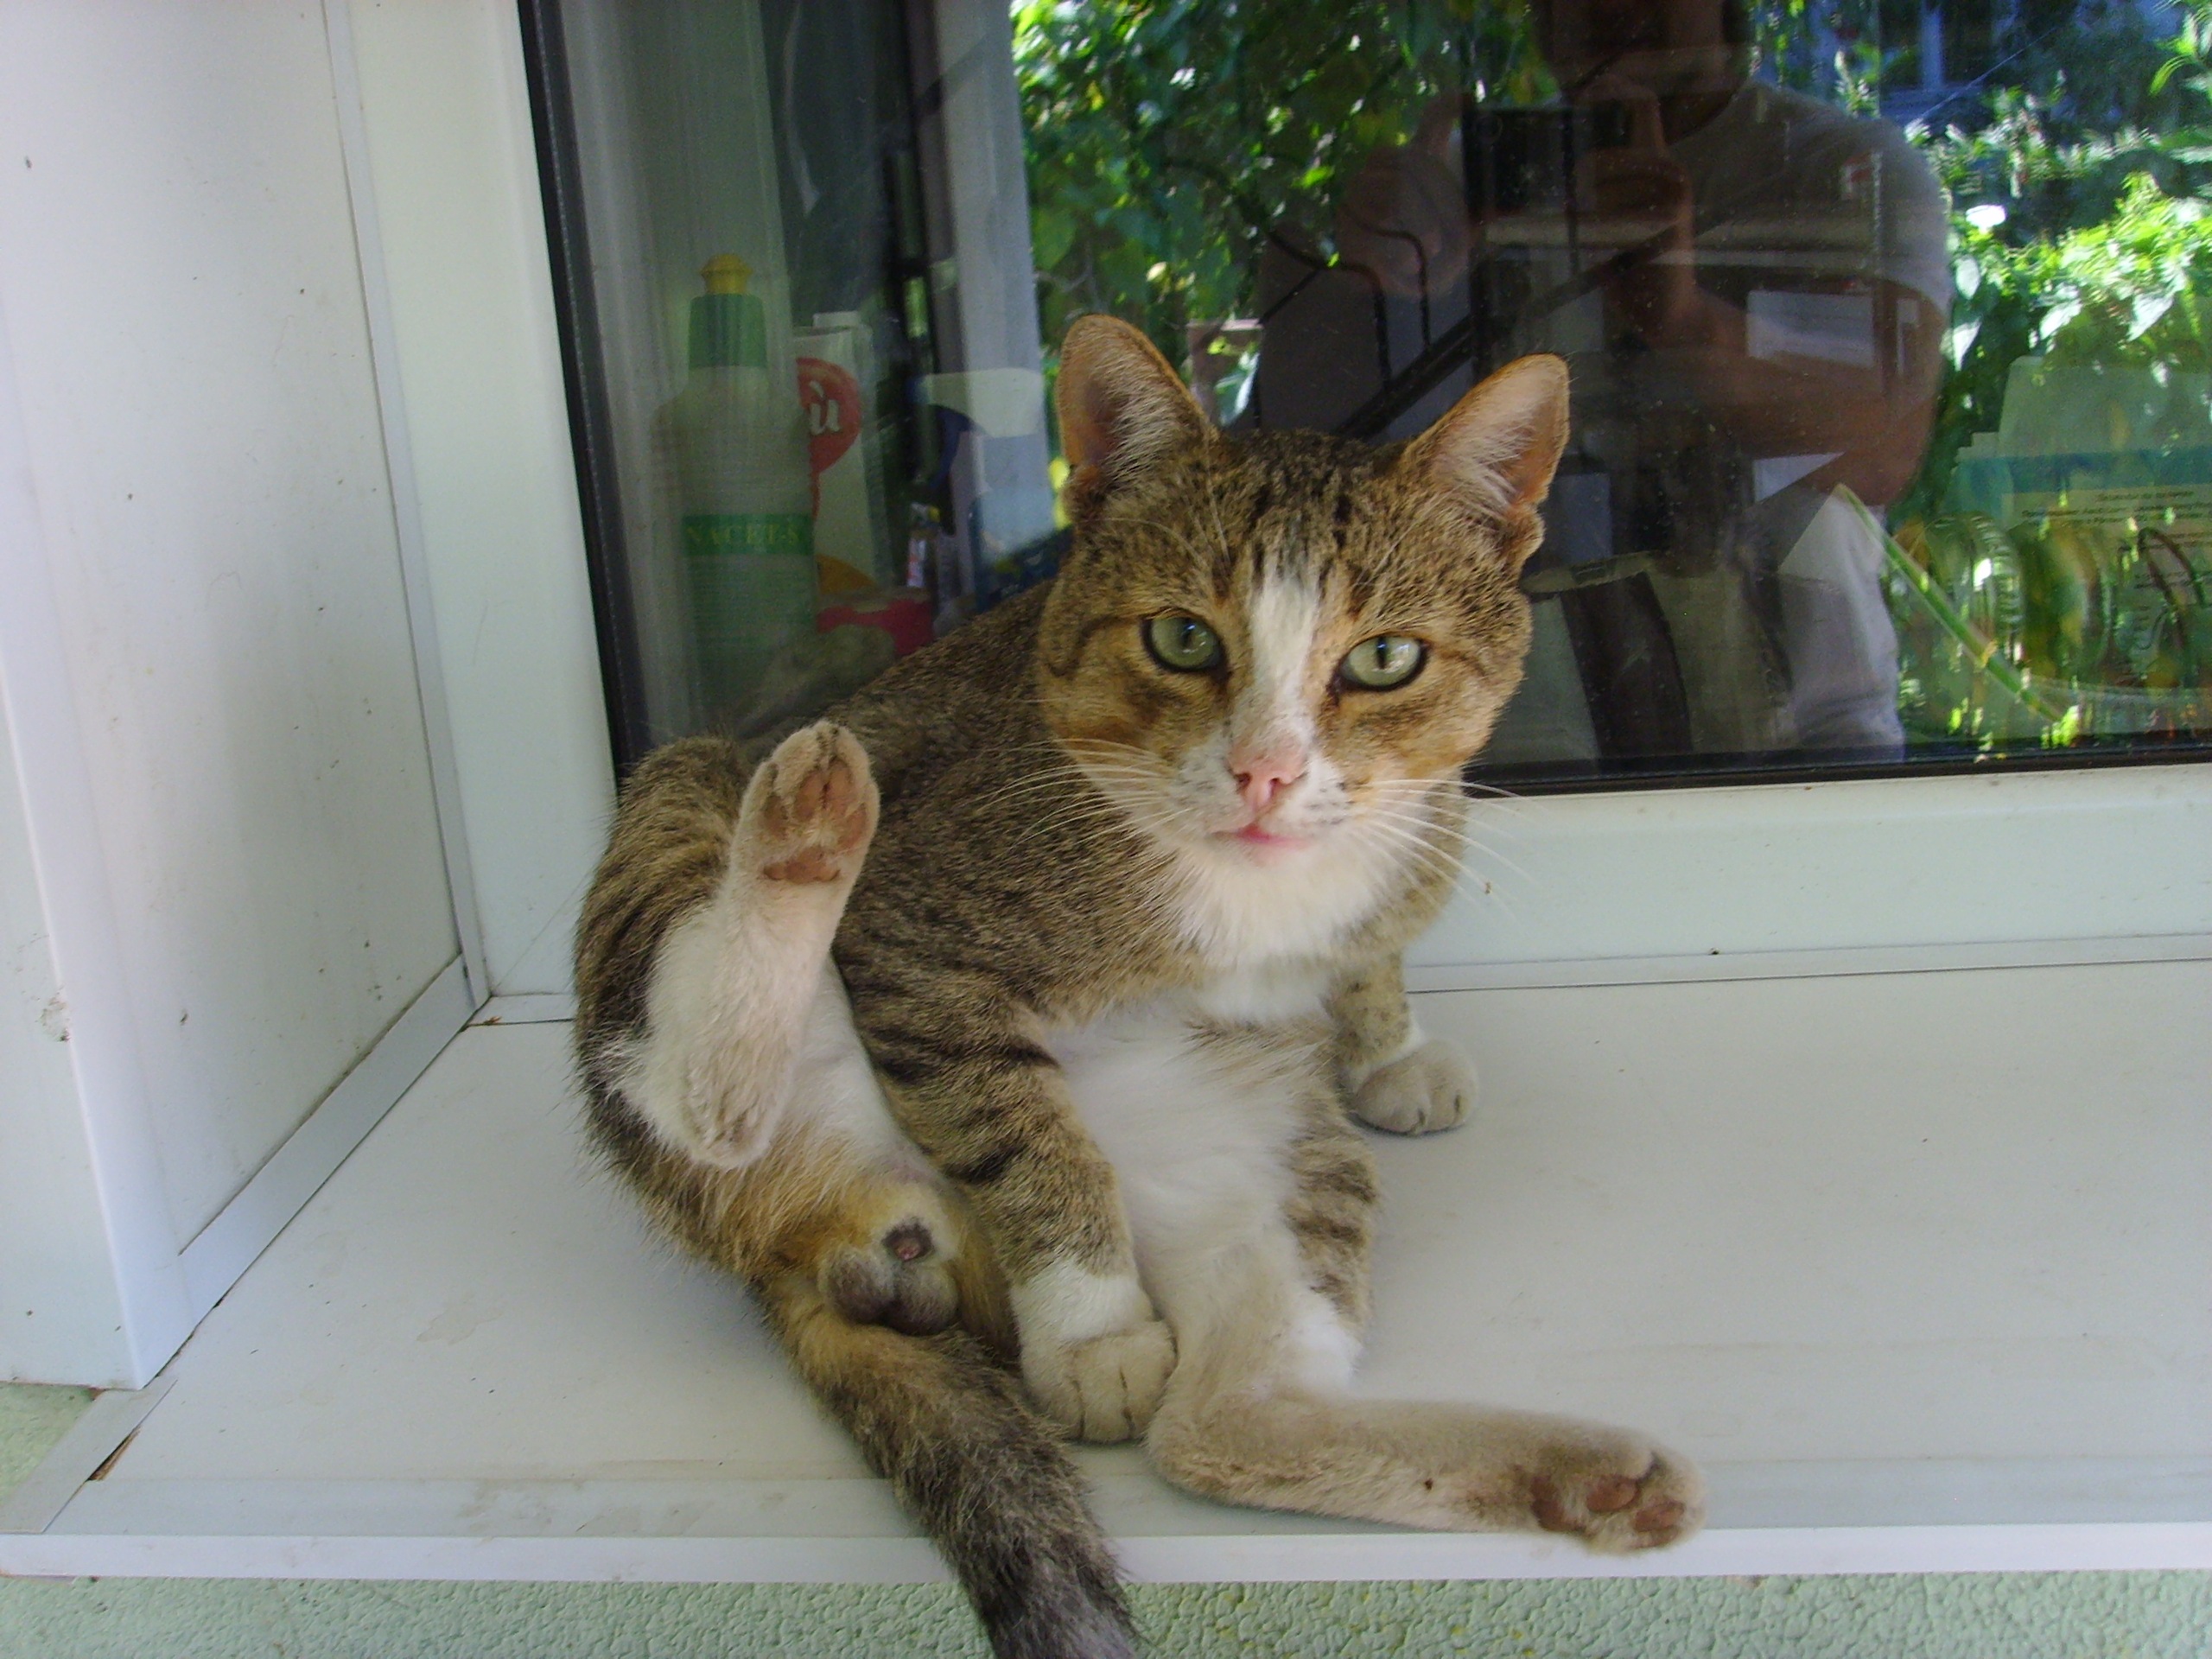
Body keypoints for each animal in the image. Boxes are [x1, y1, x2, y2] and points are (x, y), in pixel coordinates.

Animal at [573, 316, 1704, 1659]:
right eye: (1182, 638)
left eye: (1384, 659)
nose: (1267, 772)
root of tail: (845, 1243)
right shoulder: (916, 939)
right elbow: (1033, 1141)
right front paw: (1094, 1328)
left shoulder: (1412, 843)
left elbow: (1373, 949)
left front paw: (1388, 1045)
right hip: (693, 825)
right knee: (707, 1098)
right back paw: (803, 836)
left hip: (1278, 1145)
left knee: (1223, 1429)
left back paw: (1584, 1480)